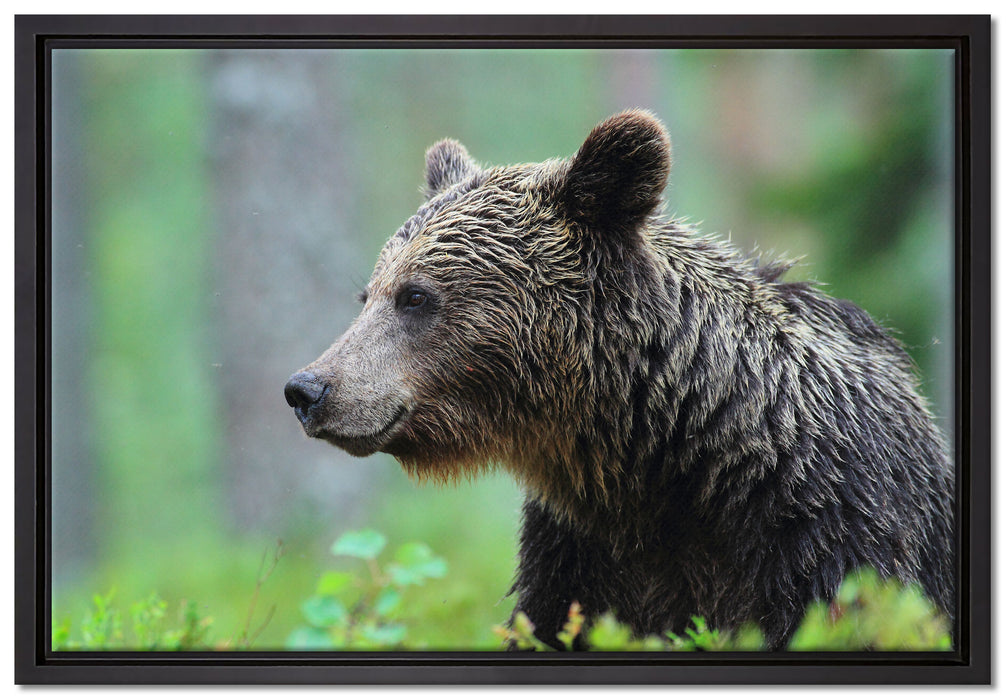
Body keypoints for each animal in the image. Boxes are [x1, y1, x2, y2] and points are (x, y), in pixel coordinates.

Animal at [284, 110, 954, 650]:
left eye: (415, 296)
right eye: (367, 295)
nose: (307, 389)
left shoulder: (829, 534)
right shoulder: (581, 553)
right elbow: (553, 622)